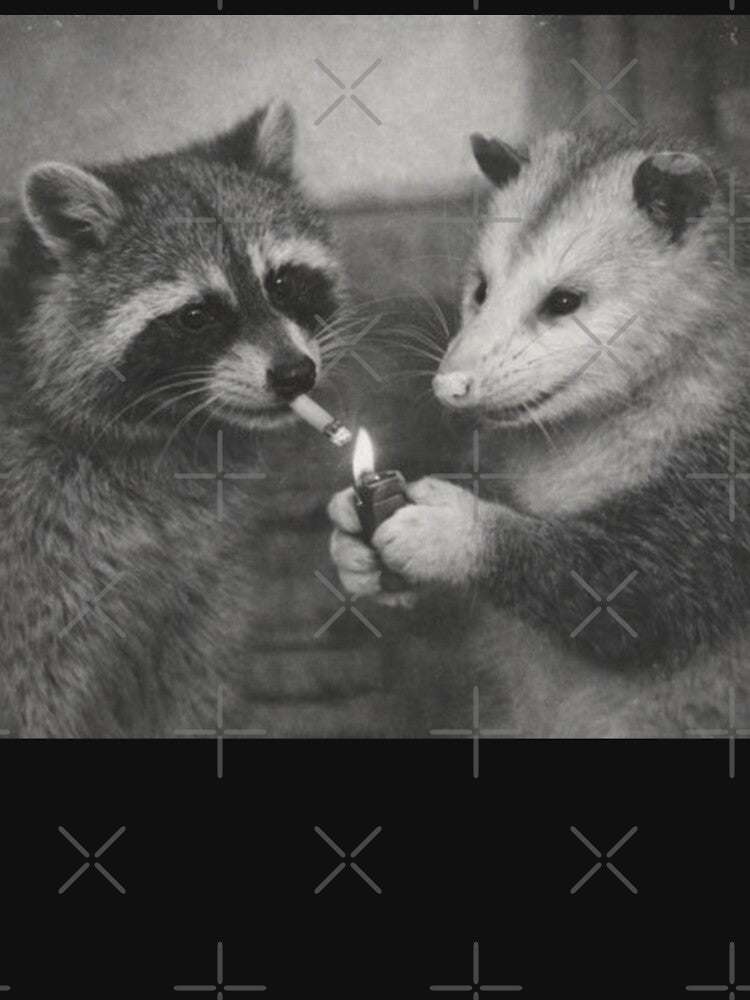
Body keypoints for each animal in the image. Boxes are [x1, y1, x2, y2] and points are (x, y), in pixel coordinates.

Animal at [0, 102, 344, 736]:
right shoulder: (31, 563)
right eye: (196, 316)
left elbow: (186, 681)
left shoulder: (197, 574)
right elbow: (30, 693)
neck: (176, 429)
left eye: (282, 282)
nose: (295, 375)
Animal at [329, 127, 750, 680]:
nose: (449, 387)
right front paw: (352, 542)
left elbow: (645, 599)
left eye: (565, 301)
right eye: (481, 289)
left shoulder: (727, 476)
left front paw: (452, 532)